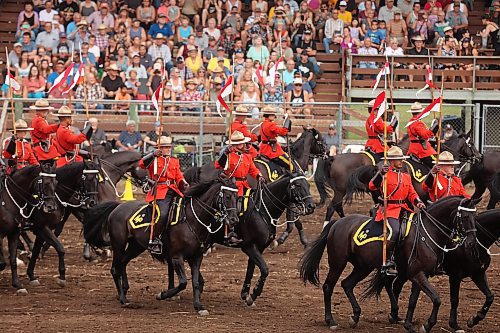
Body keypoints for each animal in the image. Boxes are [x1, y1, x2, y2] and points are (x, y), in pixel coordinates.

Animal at [82, 176, 240, 308]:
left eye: (237, 197)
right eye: (227, 196)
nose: (234, 219)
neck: (191, 219)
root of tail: (117, 207)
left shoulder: (196, 257)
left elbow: (195, 282)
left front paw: (198, 305)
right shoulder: (176, 257)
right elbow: (183, 282)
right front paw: (162, 295)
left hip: (135, 246)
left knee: (123, 263)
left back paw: (124, 290)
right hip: (119, 244)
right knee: (115, 268)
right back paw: (123, 299)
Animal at [298, 196, 478, 330]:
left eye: (475, 217)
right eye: (465, 217)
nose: (471, 242)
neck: (427, 232)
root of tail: (338, 223)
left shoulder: (419, 274)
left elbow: (414, 300)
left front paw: (408, 324)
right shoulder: (417, 273)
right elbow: (436, 298)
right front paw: (427, 325)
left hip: (363, 266)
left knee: (347, 284)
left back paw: (356, 315)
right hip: (338, 263)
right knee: (328, 287)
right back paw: (331, 320)